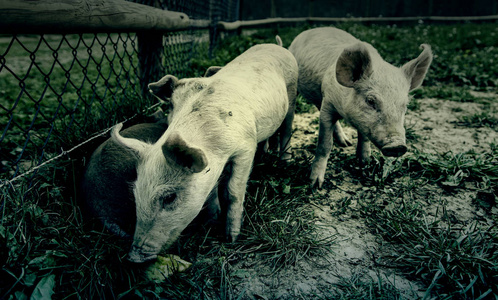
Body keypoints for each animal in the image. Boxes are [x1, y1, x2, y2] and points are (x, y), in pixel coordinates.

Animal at [111, 41, 298, 262]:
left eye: (169, 197)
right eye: (135, 191)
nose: (133, 257)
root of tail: (276, 45)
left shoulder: (245, 146)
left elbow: (233, 191)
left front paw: (231, 238)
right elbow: (211, 192)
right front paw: (212, 220)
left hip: (293, 93)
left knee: (287, 127)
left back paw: (285, 161)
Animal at [288, 27, 432, 188]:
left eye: (405, 105)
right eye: (370, 101)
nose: (397, 145)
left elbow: (364, 138)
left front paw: (365, 163)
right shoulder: (328, 103)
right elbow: (325, 143)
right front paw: (314, 184)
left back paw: (346, 143)